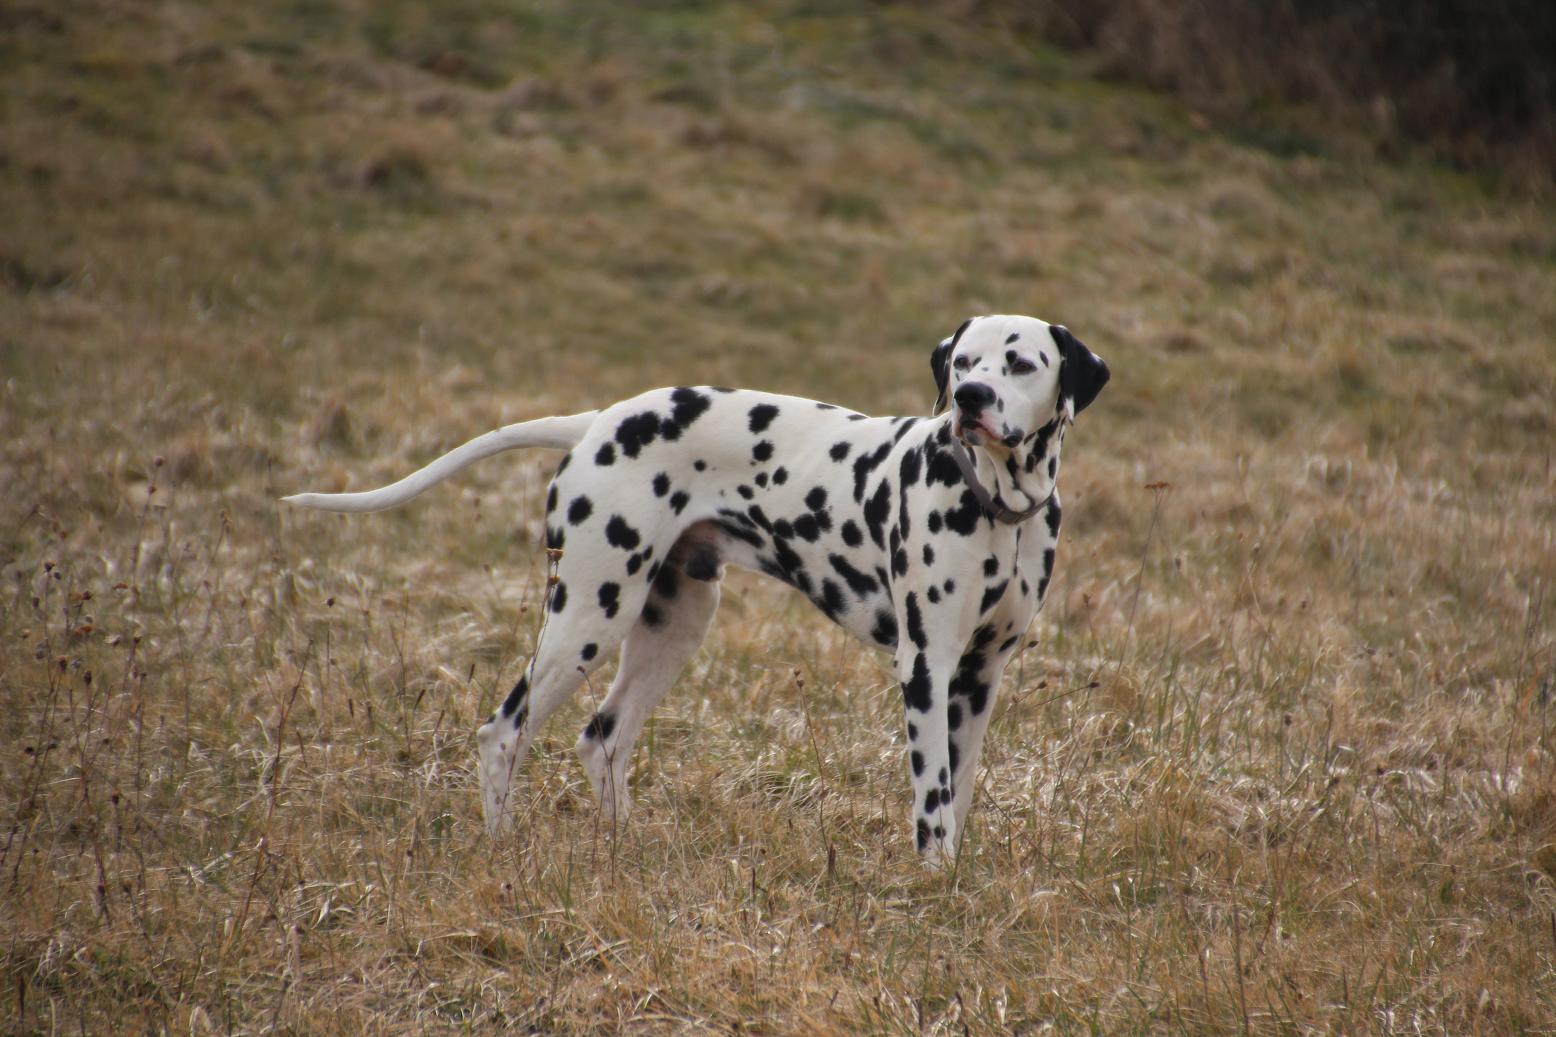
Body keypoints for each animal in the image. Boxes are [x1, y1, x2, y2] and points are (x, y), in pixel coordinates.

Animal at [286, 314, 1114, 865]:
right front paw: (932, 878)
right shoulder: (926, 668)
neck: (997, 506)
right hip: (588, 615)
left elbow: (961, 787)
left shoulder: (979, 675)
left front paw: (953, 879)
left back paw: (623, 846)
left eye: (1021, 362)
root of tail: (598, 421)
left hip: (673, 626)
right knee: (503, 731)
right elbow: (933, 796)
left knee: (602, 736)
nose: (970, 396)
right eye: (966, 360)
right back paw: (503, 843)